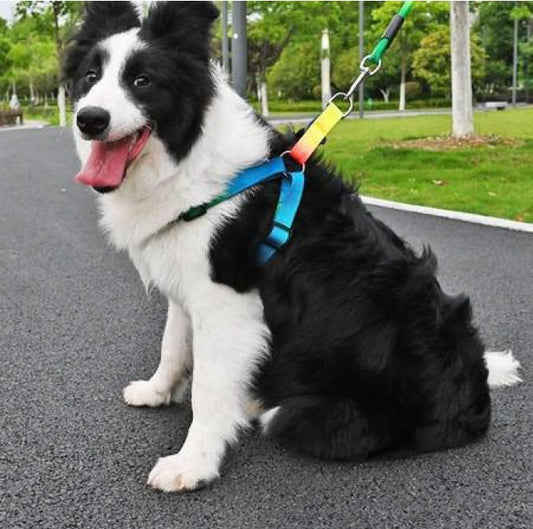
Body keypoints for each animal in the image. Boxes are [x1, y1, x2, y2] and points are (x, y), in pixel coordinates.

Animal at [62, 2, 520, 492]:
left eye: (142, 81)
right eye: (91, 76)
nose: (89, 119)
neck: (189, 161)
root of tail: (473, 398)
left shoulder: (226, 301)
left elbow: (207, 388)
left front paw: (193, 463)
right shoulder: (189, 285)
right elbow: (174, 345)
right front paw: (157, 391)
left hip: (307, 414)